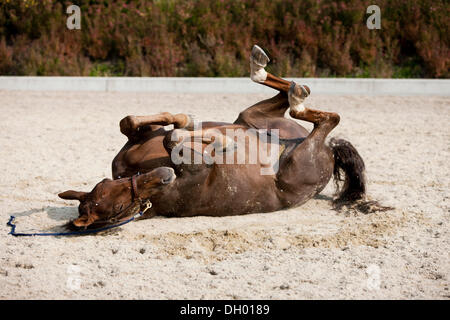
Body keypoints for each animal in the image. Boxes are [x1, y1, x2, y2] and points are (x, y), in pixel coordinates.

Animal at [58, 45, 366, 230]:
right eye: (119, 207)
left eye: (108, 184)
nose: (164, 176)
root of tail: (331, 151)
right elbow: (174, 140)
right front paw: (221, 142)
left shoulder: (140, 139)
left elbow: (138, 123)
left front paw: (190, 123)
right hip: (296, 163)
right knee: (325, 118)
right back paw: (293, 96)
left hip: (253, 118)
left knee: (290, 95)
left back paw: (265, 71)